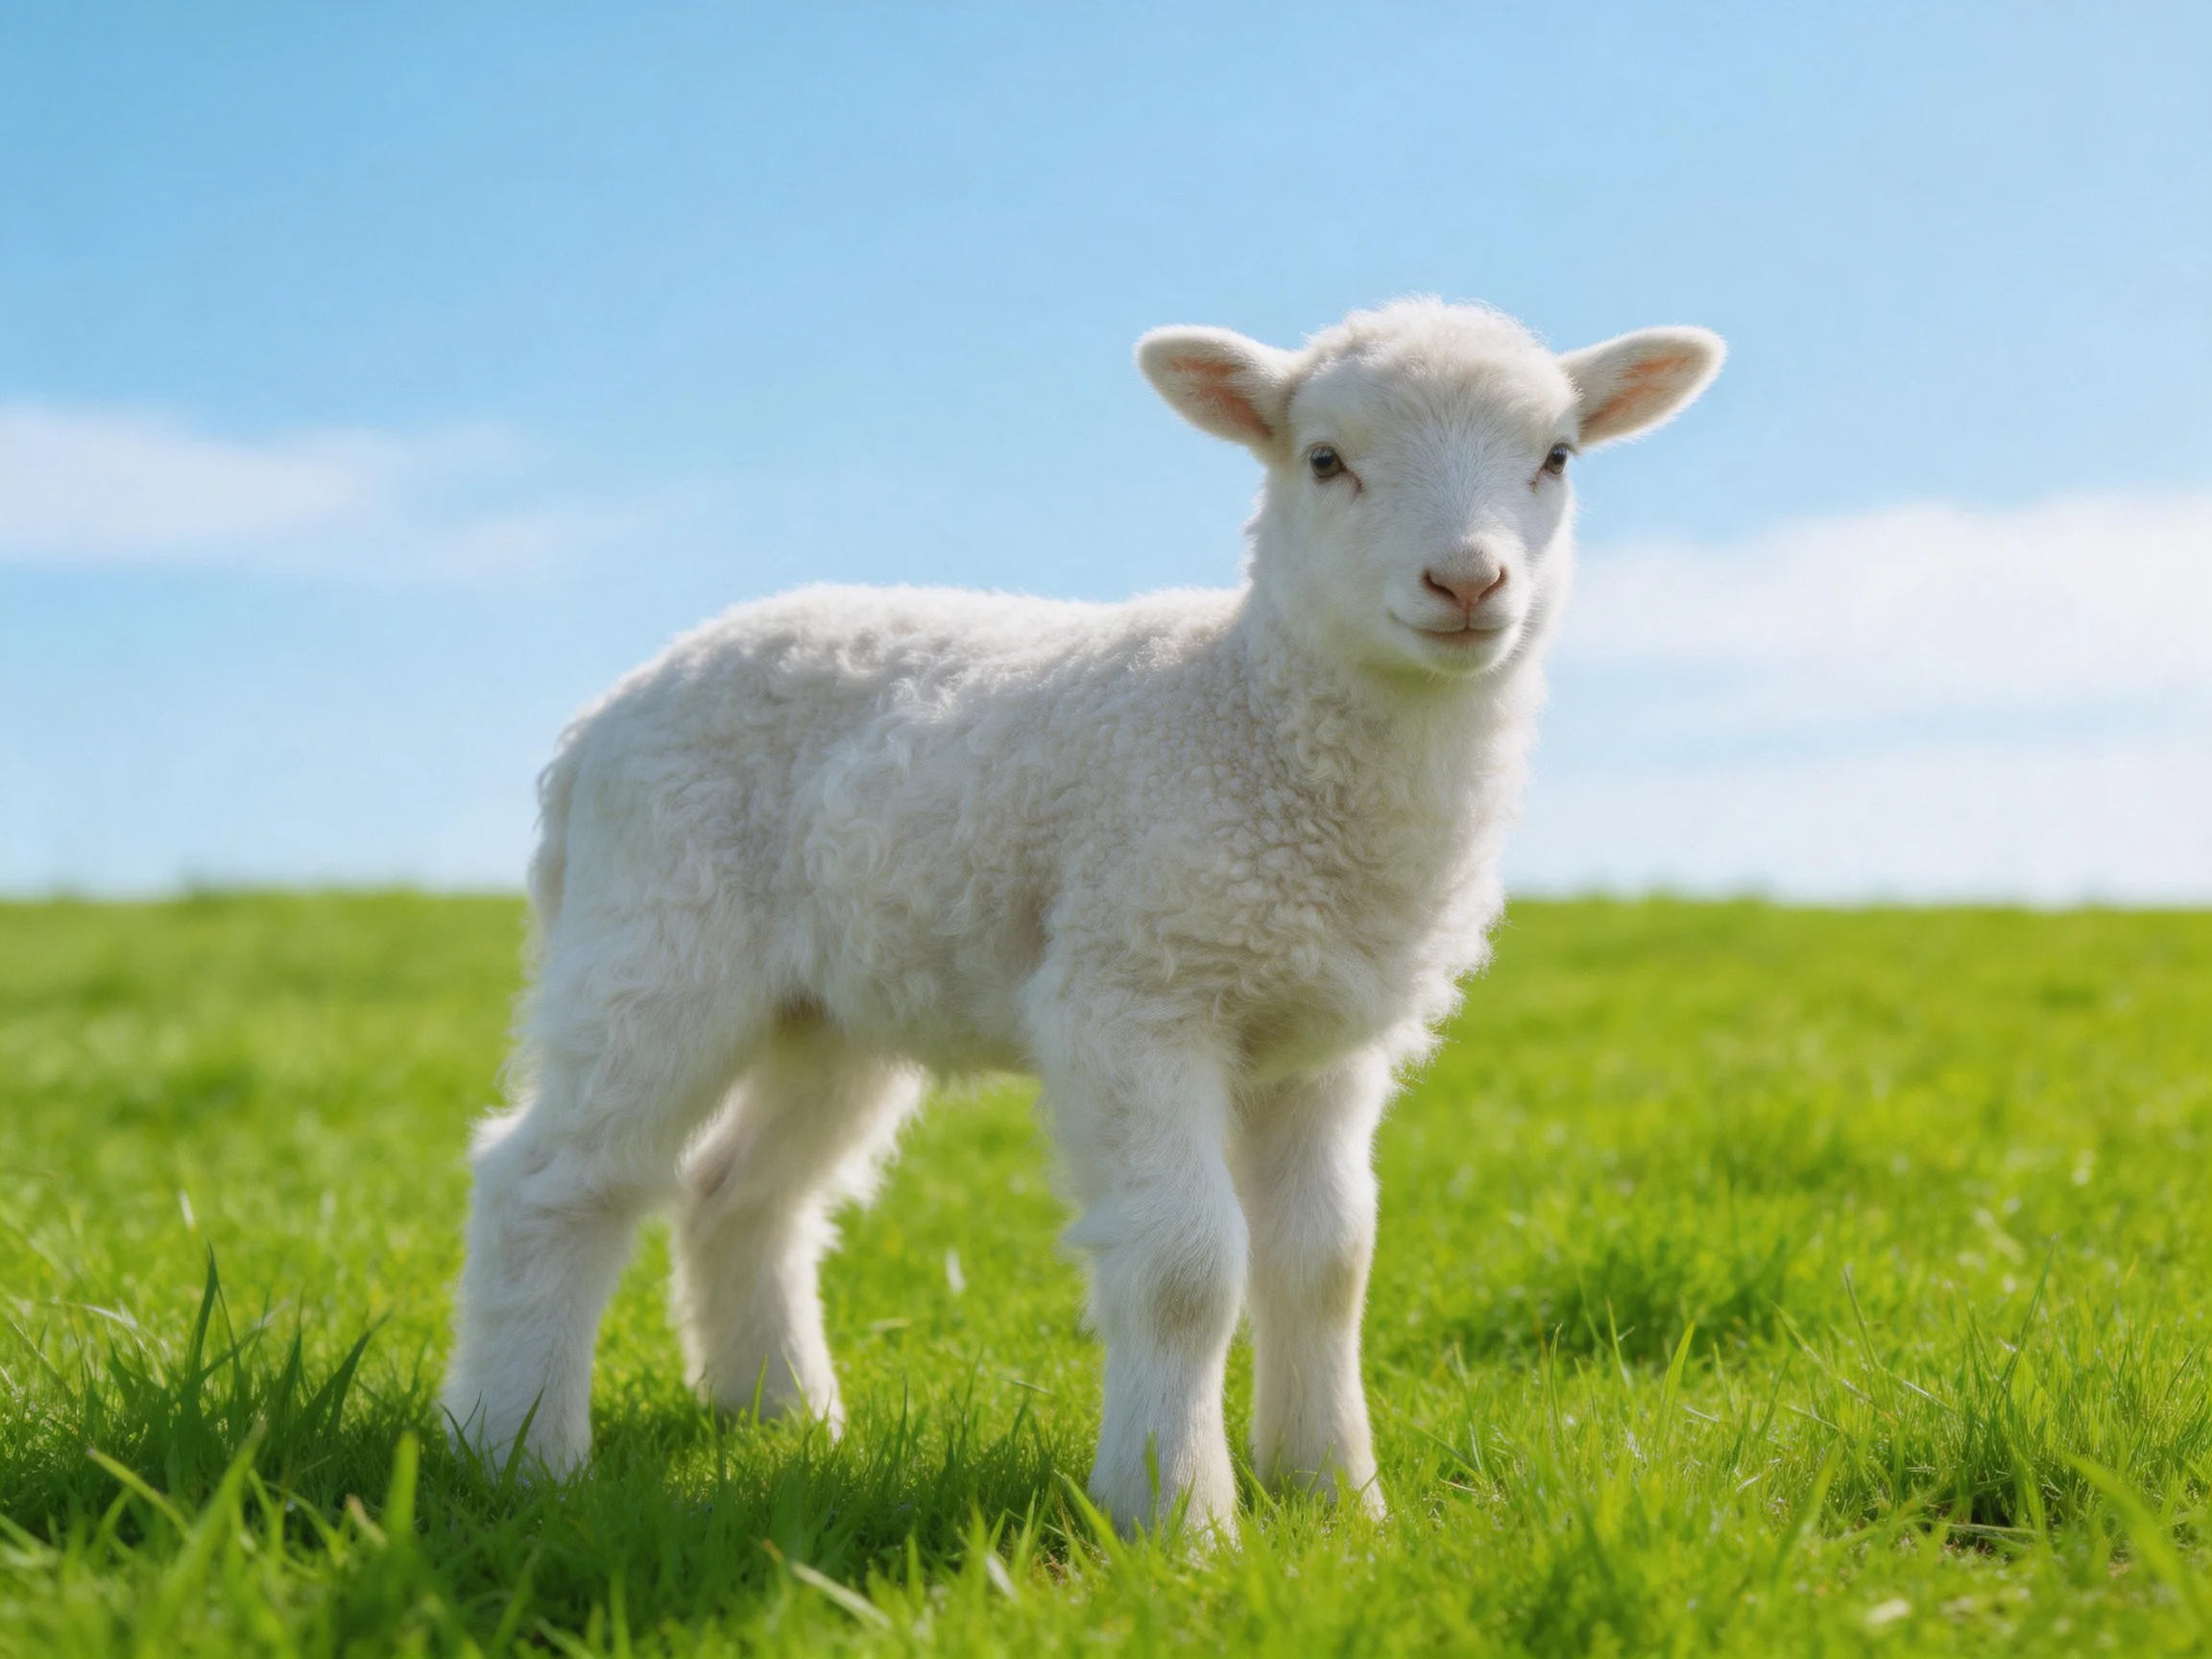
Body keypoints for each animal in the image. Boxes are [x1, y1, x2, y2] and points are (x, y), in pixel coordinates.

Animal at [439, 297, 1724, 1533]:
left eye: (1555, 457)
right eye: (1324, 459)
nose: (1466, 584)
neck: (1249, 720)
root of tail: (598, 723)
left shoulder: (1322, 1041)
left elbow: (1327, 1264)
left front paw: (1337, 1500)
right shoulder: (1135, 990)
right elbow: (1189, 1270)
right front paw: (1178, 1519)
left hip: (828, 1008)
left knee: (738, 1195)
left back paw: (784, 1421)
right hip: (658, 935)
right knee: (547, 1180)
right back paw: (518, 1454)